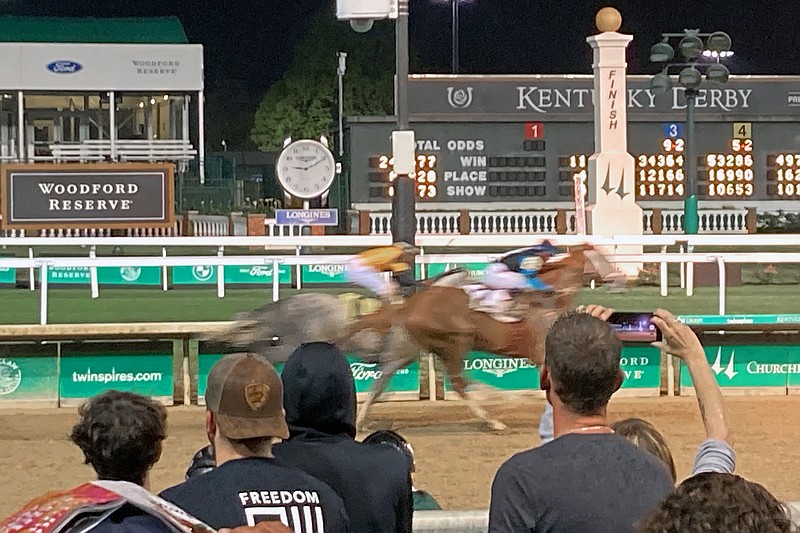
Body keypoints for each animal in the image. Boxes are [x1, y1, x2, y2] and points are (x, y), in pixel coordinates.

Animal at [206, 243, 620, 430]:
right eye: (603, 257)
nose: (622, 276)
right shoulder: (537, 347)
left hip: (424, 346)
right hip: (454, 341)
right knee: (460, 383)